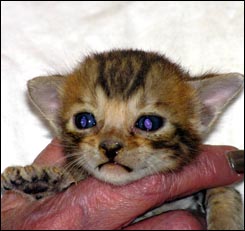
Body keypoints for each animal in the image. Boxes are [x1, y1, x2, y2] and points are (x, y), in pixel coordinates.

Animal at [1, 49, 243, 229]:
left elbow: (225, 191)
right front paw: (39, 180)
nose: (110, 146)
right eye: (84, 120)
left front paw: (224, 221)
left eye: (149, 123)